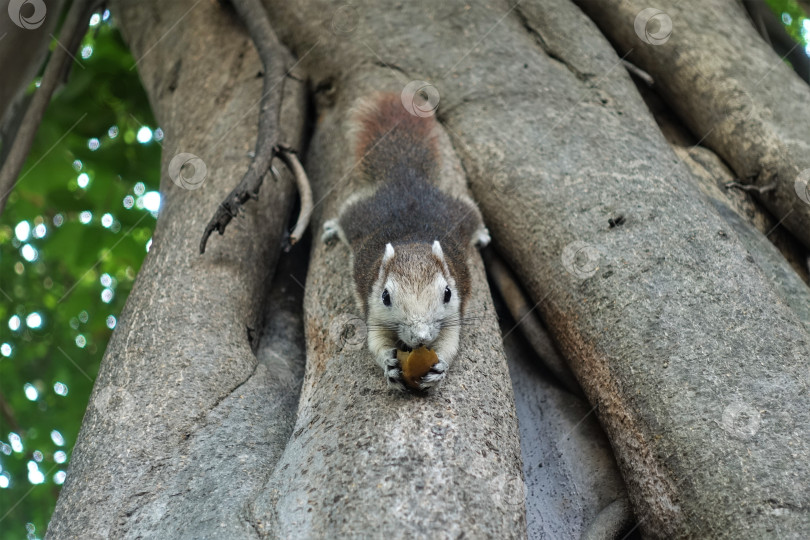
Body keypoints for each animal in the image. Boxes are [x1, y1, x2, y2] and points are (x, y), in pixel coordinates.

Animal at [320, 92, 486, 388]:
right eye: (386, 296)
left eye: (447, 293)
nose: (421, 338)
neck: (411, 241)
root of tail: (405, 176)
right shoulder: (373, 309)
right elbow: (375, 342)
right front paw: (389, 363)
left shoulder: (454, 312)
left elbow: (450, 343)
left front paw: (440, 367)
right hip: (361, 215)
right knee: (346, 214)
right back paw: (332, 228)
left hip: (458, 213)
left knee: (473, 212)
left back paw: (483, 234)